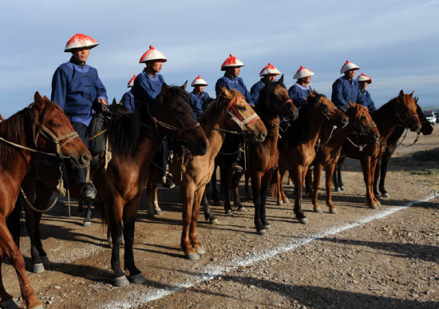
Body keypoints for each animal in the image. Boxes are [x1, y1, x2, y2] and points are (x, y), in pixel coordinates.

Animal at [146, 88, 268, 258]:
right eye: (242, 107)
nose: (263, 133)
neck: (200, 154)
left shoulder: (201, 186)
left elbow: (195, 214)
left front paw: (196, 243)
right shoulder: (188, 187)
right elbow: (187, 216)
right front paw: (187, 248)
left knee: (152, 188)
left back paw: (155, 209)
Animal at [222, 77, 298, 233]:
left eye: (287, 92)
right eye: (275, 95)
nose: (293, 112)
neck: (266, 143)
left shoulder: (268, 172)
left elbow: (262, 198)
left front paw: (265, 222)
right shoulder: (257, 173)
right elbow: (257, 199)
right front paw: (258, 225)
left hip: (240, 170)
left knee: (234, 183)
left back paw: (239, 205)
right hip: (226, 166)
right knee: (226, 184)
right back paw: (228, 207)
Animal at [276, 90, 350, 223]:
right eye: (324, 105)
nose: (345, 120)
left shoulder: (310, 166)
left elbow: (326, 184)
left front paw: (330, 206)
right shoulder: (302, 166)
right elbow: (303, 187)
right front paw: (302, 213)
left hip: (283, 165)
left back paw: (283, 198)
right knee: (278, 179)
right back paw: (279, 199)